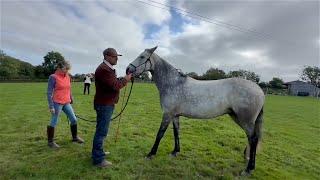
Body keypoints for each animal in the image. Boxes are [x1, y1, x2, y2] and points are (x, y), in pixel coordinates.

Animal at [126, 46, 264, 174]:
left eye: (142, 57)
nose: (127, 69)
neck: (173, 83)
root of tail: (260, 90)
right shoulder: (175, 115)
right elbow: (176, 132)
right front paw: (175, 152)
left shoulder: (167, 114)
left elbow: (160, 134)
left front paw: (151, 154)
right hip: (238, 118)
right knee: (252, 139)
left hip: (245, 121)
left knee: (253, 139)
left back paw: (248, 169)